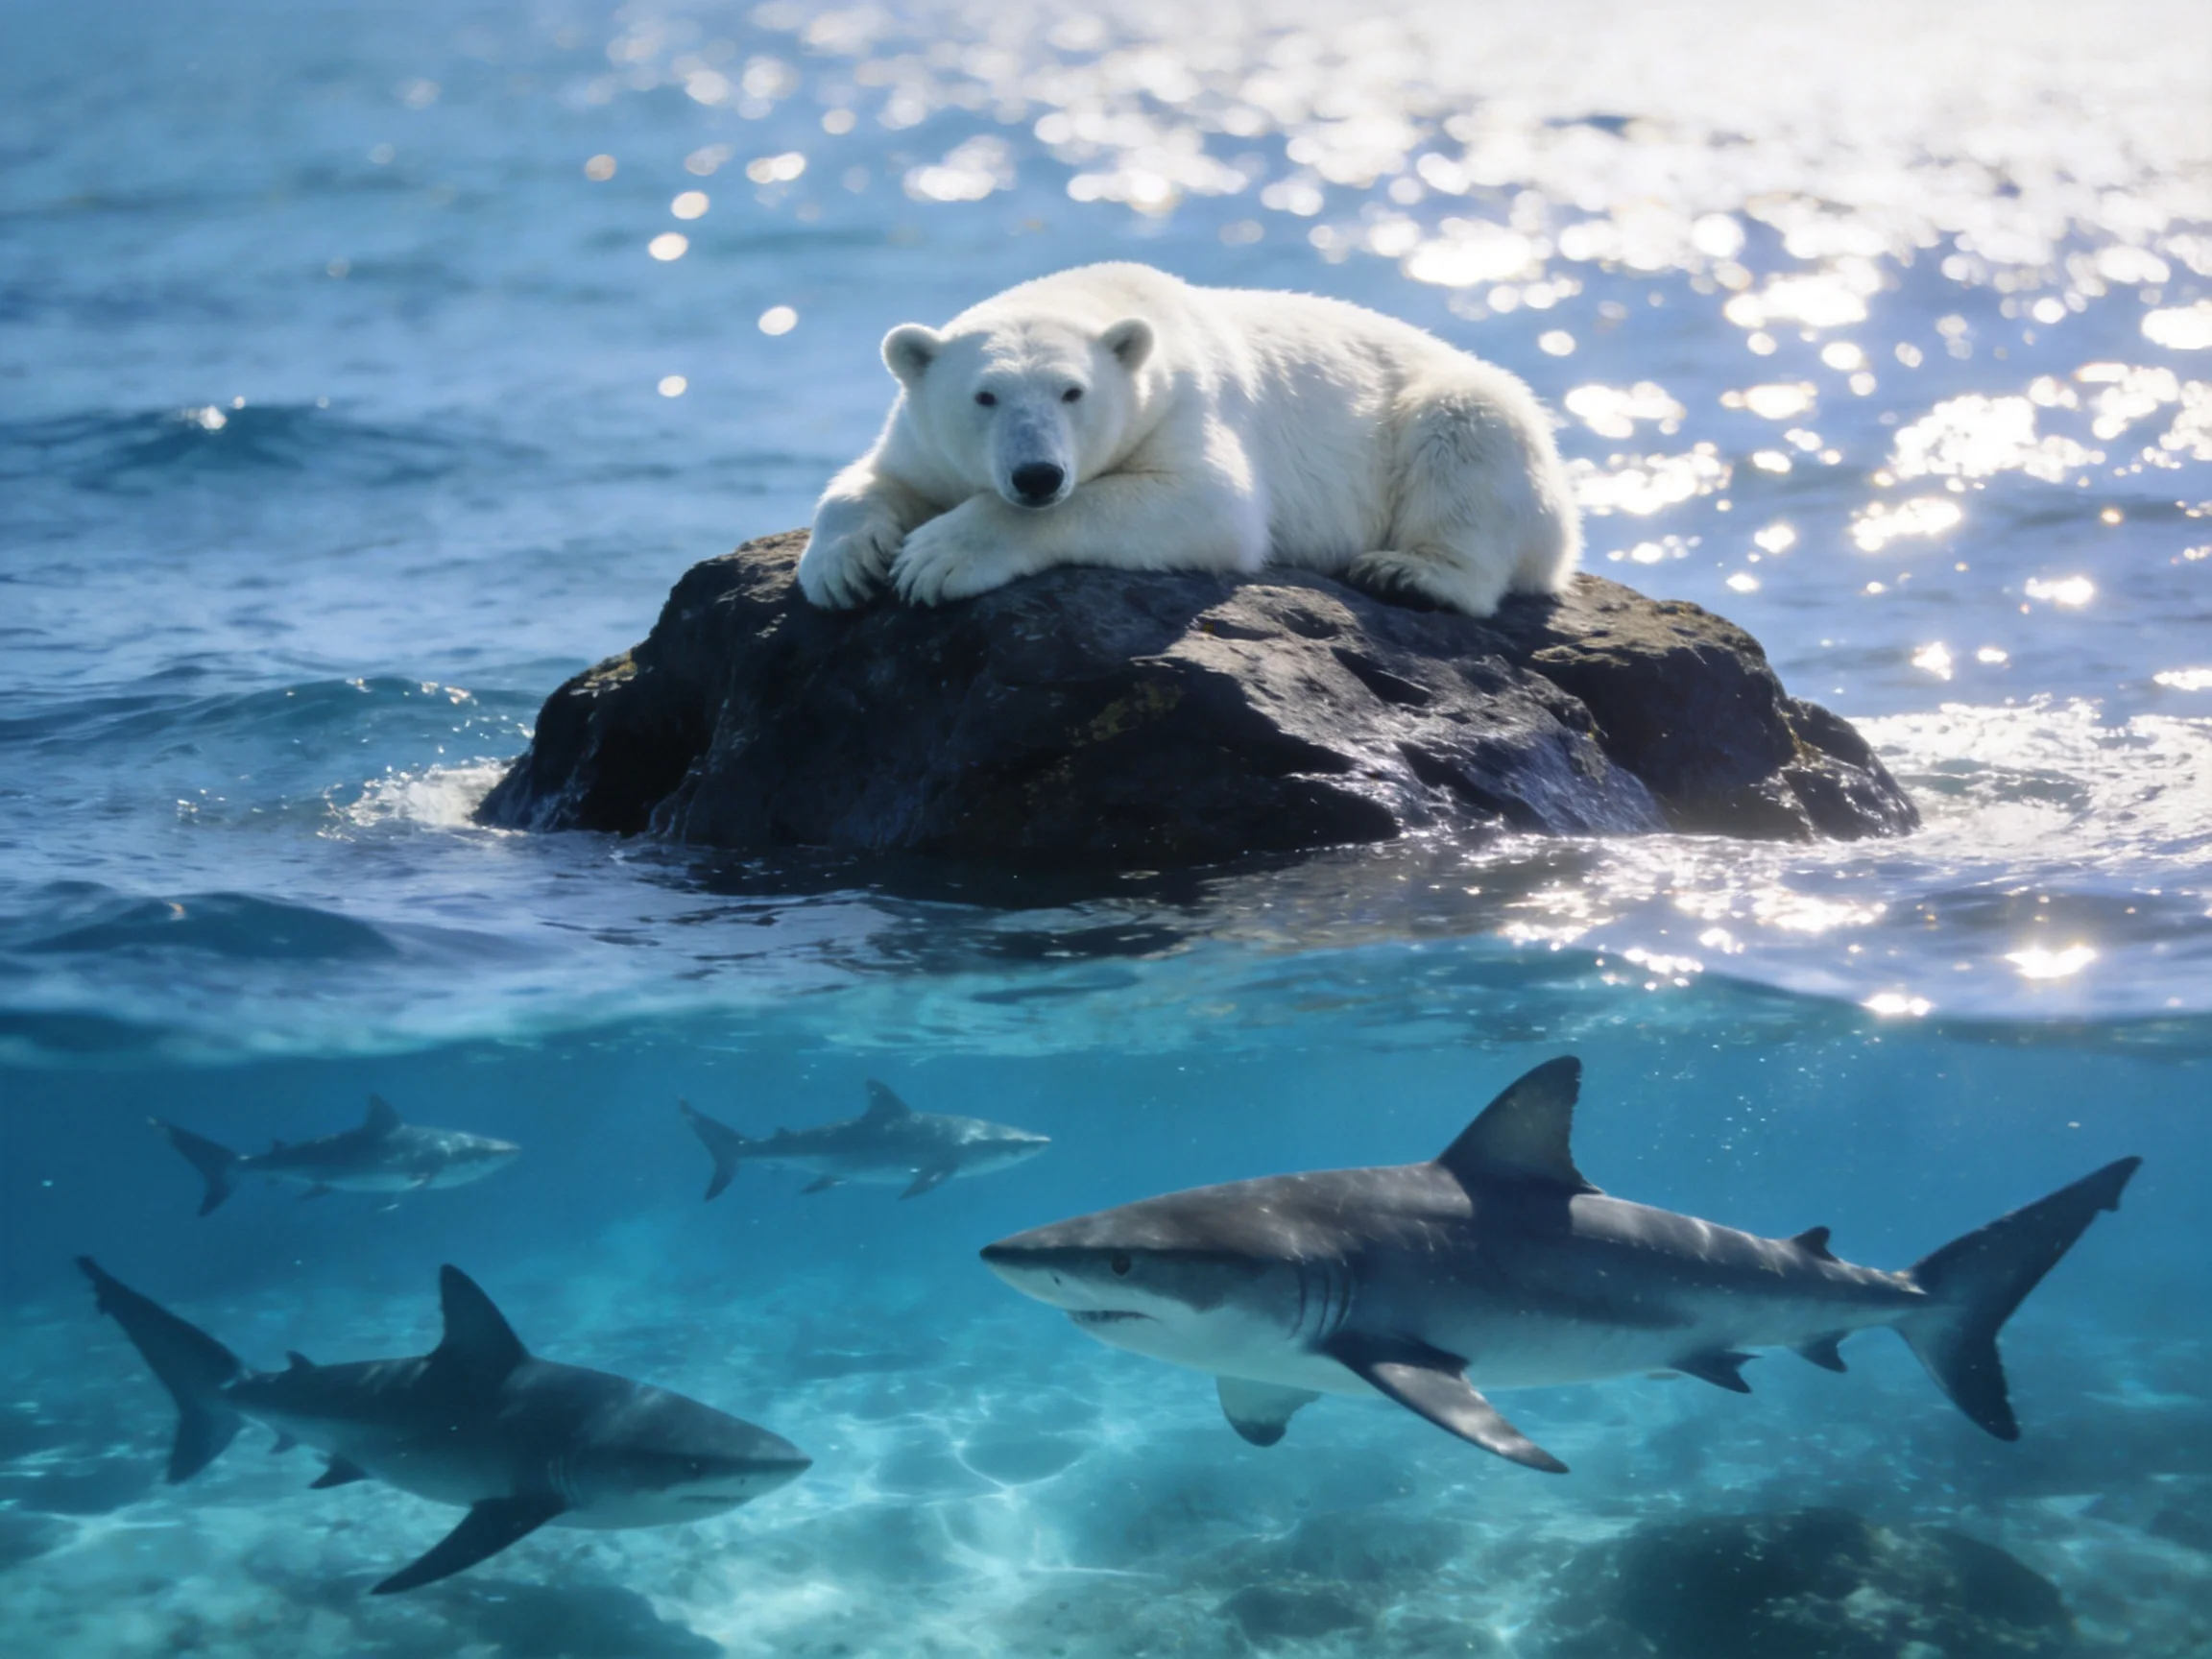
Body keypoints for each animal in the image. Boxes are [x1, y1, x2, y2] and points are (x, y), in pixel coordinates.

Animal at [798, 262, 1580, 618]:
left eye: (1072, 393)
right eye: (984, 396)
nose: (1037, 476)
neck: (1110, 300)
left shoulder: (1185, 407)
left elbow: (1207, 504)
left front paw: (939, 558)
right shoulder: (925, 439)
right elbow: (873, 480)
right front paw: (840, 567)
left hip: (1464, 413)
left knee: (1465, 433)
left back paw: (1409, 572)